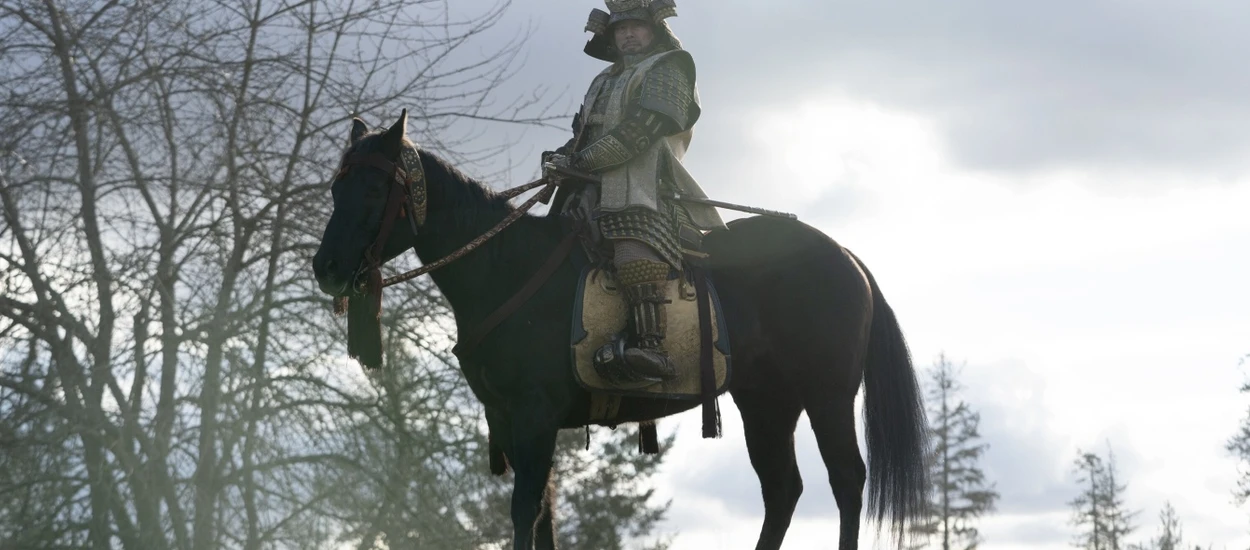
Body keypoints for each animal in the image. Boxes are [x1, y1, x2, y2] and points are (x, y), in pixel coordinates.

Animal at [307, 112, 925, 550]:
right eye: (336, 189)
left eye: (373, 191)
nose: (327, 268)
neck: (506, 267)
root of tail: (846, 257)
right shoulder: (514, 421)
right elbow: (543, 516)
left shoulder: (533, 417)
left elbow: (525, 512)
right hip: (766, 401)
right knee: (782, 489)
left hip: (827, 394)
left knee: (845, 480)